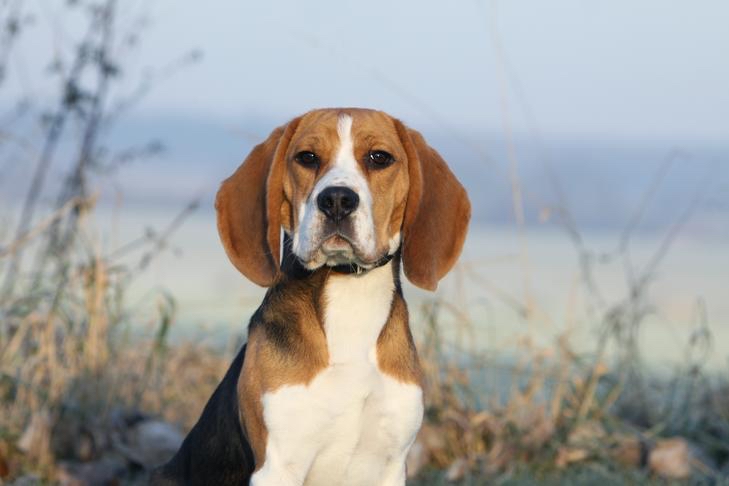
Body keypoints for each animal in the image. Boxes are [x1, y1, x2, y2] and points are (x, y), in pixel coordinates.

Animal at [152, 108, 472, 484]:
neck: (351, 299)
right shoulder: (278, 466)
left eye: (379, 158)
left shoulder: (390, 465)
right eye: (307, 157)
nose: (337, 200)